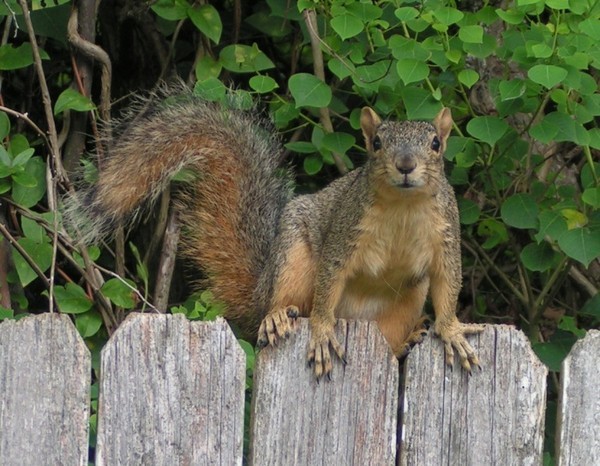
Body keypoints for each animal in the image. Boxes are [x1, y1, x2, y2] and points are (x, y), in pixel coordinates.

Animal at [68, 88, 482, 378]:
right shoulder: (343, 233)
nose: (406, 165)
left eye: (436, 143)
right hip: (292, 258)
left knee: (392, 339)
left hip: (405, 301)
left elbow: (449, 283)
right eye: (377, 143)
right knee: (282, 302)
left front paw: (451, 331)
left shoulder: (446, 237)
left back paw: (409, 341)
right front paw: (321, 331)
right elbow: (329, 282)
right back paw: (278, 316)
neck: (403, 207)